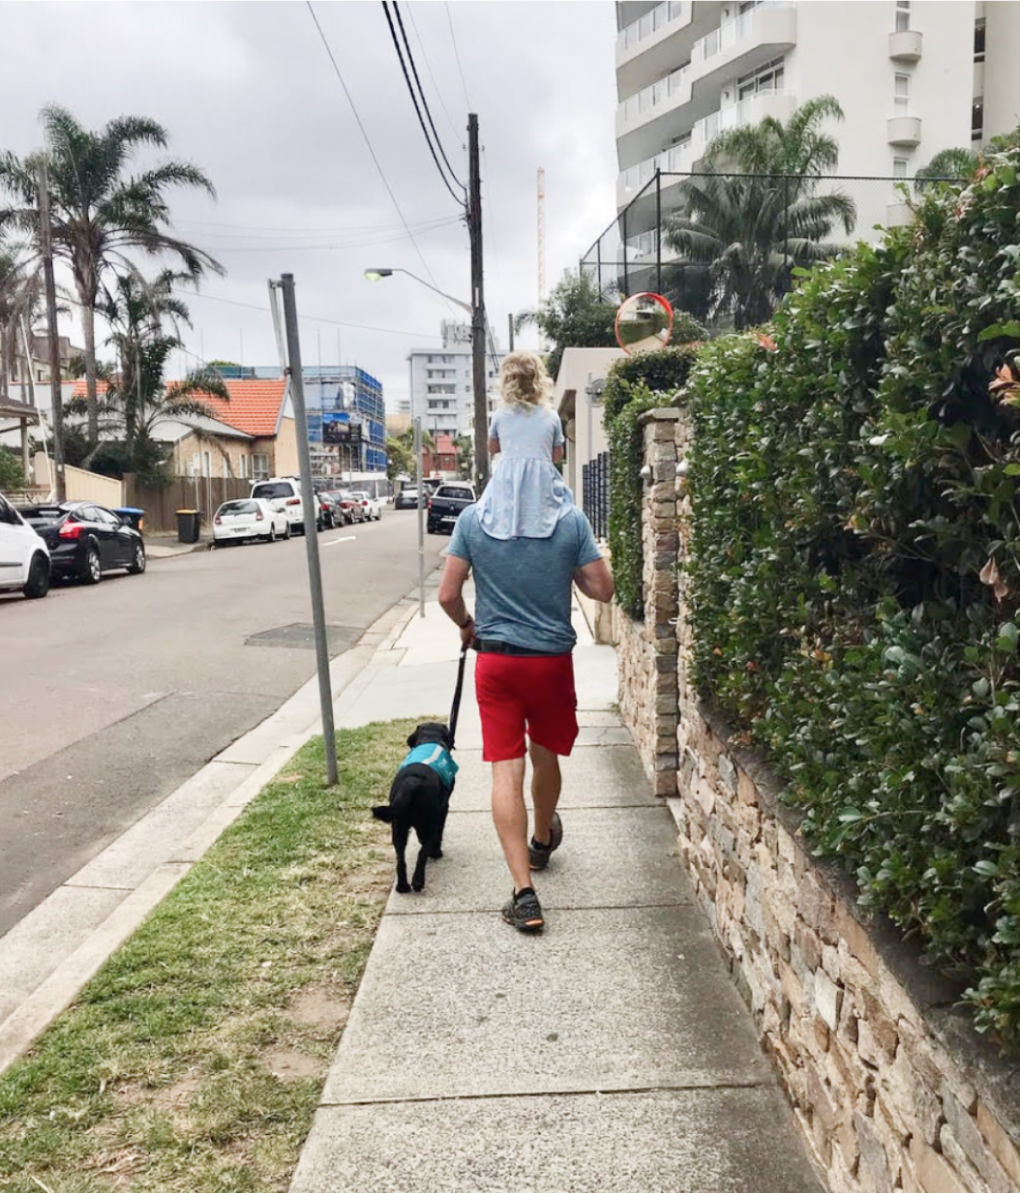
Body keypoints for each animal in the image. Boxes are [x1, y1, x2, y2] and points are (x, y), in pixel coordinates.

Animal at [372, 720, 455, 892]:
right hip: (429, 822)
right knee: (422, 852)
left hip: (398, 826)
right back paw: (418, 881)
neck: (430, 739)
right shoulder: (444, 809)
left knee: (400, 858)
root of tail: (412, 783)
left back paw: (402, 886)